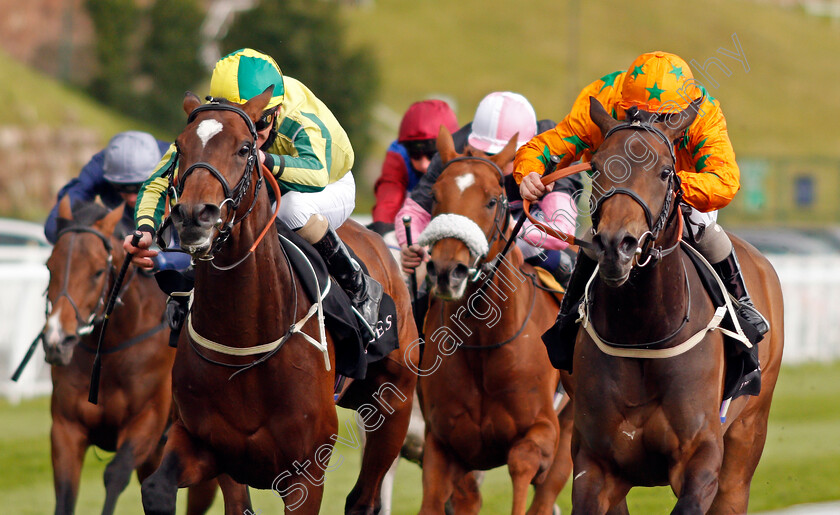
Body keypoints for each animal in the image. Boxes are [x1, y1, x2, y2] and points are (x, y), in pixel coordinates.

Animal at [43, 199, 217, 515]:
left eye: (98, 272)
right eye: (50, 267)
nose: (56, 341)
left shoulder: (147, 420)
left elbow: (115, 474)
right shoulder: (66, 427)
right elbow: (65, 494)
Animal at [143, 89, 420, 515]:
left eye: (244, 148)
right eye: (180, 146)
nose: (193, 215)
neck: (243, 340)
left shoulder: (306, 471)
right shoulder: (206, 445)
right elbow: (158, 489)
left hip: (393, 402)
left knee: (363, 498)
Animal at [412, 129, 576, 515]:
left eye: (491, 201)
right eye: (436, 196)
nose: (447, 272)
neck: (482, 343)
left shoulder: (540, 434)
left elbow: (523, 465)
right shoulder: (443, 444)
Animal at [552, 95, 788, 512]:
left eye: (665, 172)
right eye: (596, 167)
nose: (616, 246)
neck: (643, 334)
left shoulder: (701, 458)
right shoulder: (595, 463)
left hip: (745, 440)